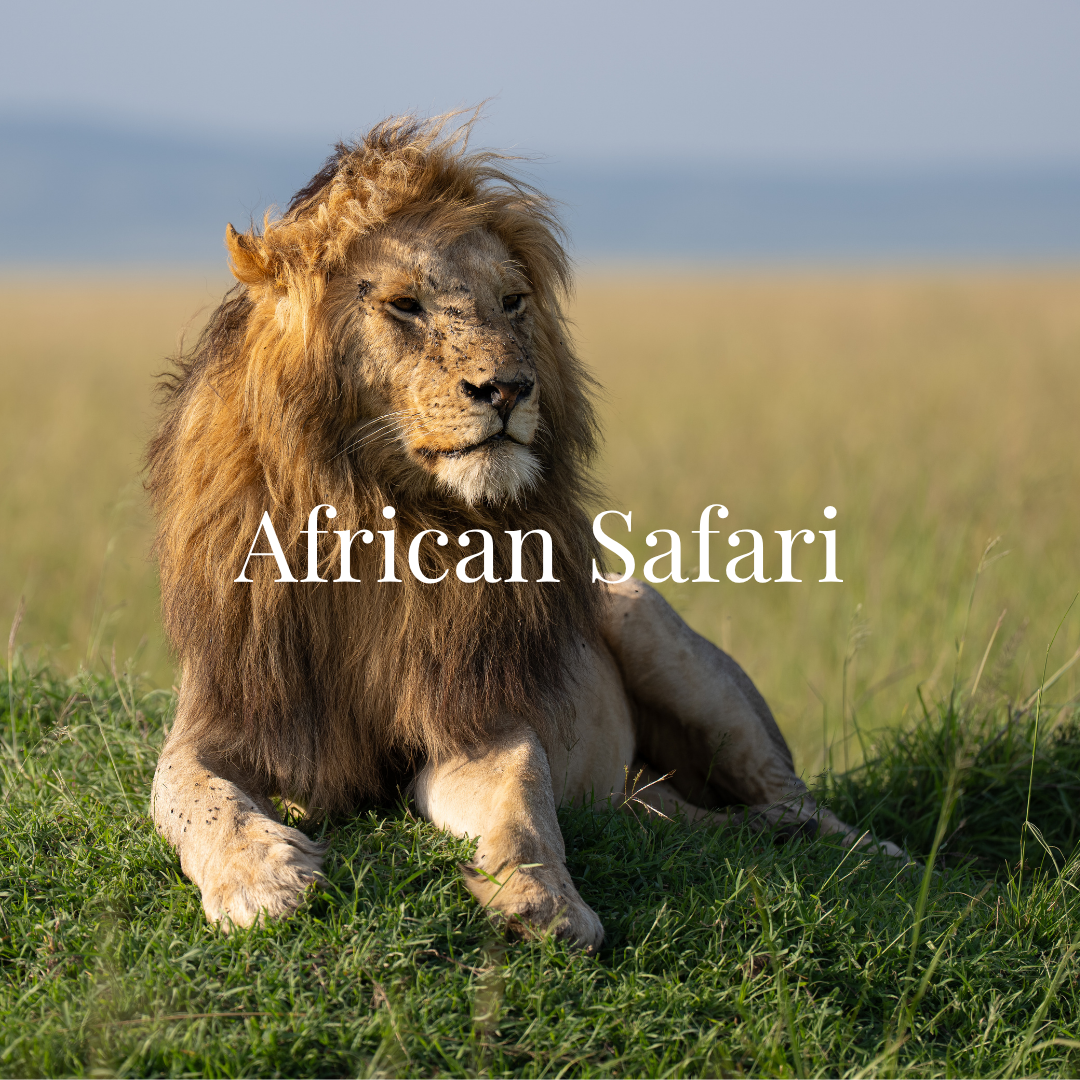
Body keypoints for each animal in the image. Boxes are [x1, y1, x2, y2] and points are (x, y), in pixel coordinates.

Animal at [147, 114, 887, 950]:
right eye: (404, 305)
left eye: (511, 302)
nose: (507, 389)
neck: (376, 517)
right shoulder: (221, 717)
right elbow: (192, 797)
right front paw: (261, 879)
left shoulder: (478, 715)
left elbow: (522, 802)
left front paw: (544, 901)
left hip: (655, 629)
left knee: (794, 797)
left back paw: (858, 849)